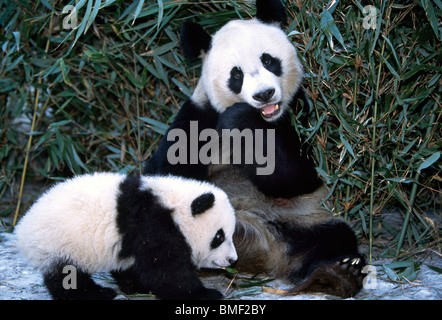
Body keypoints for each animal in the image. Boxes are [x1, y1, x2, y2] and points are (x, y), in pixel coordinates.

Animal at [14, 172, 238, 300]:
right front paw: (205, 294)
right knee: (68, 276)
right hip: (60, 243)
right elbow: (166, 270)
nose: (232, 260)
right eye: (219, 237)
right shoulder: (152, 224)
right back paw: (96, 294)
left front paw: (138, 286)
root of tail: (22, 228)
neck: (174, 207)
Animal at [145, 0, 366, 298]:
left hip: (309, 220)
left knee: (335, 240)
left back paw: (337, 275)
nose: (264, 95)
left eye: (268, 60)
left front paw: (242, 121)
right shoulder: (197, 117)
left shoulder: (302, 114)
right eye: (236, 74)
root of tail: (263, 246)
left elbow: (298, 176)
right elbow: (169, 172)